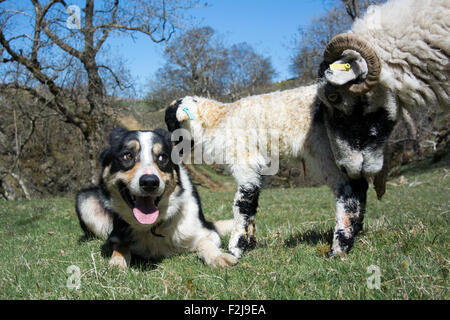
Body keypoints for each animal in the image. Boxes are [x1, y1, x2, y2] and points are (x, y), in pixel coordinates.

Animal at [74, 127, 236, 268]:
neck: (153, 226)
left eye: (162, 157)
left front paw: (217, 256)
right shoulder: (114, 236)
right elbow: (121, 246)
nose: (149, 182)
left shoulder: (208, 232)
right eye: (127, 155)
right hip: (84, 199)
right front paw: (117, 264)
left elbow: (205, 242)